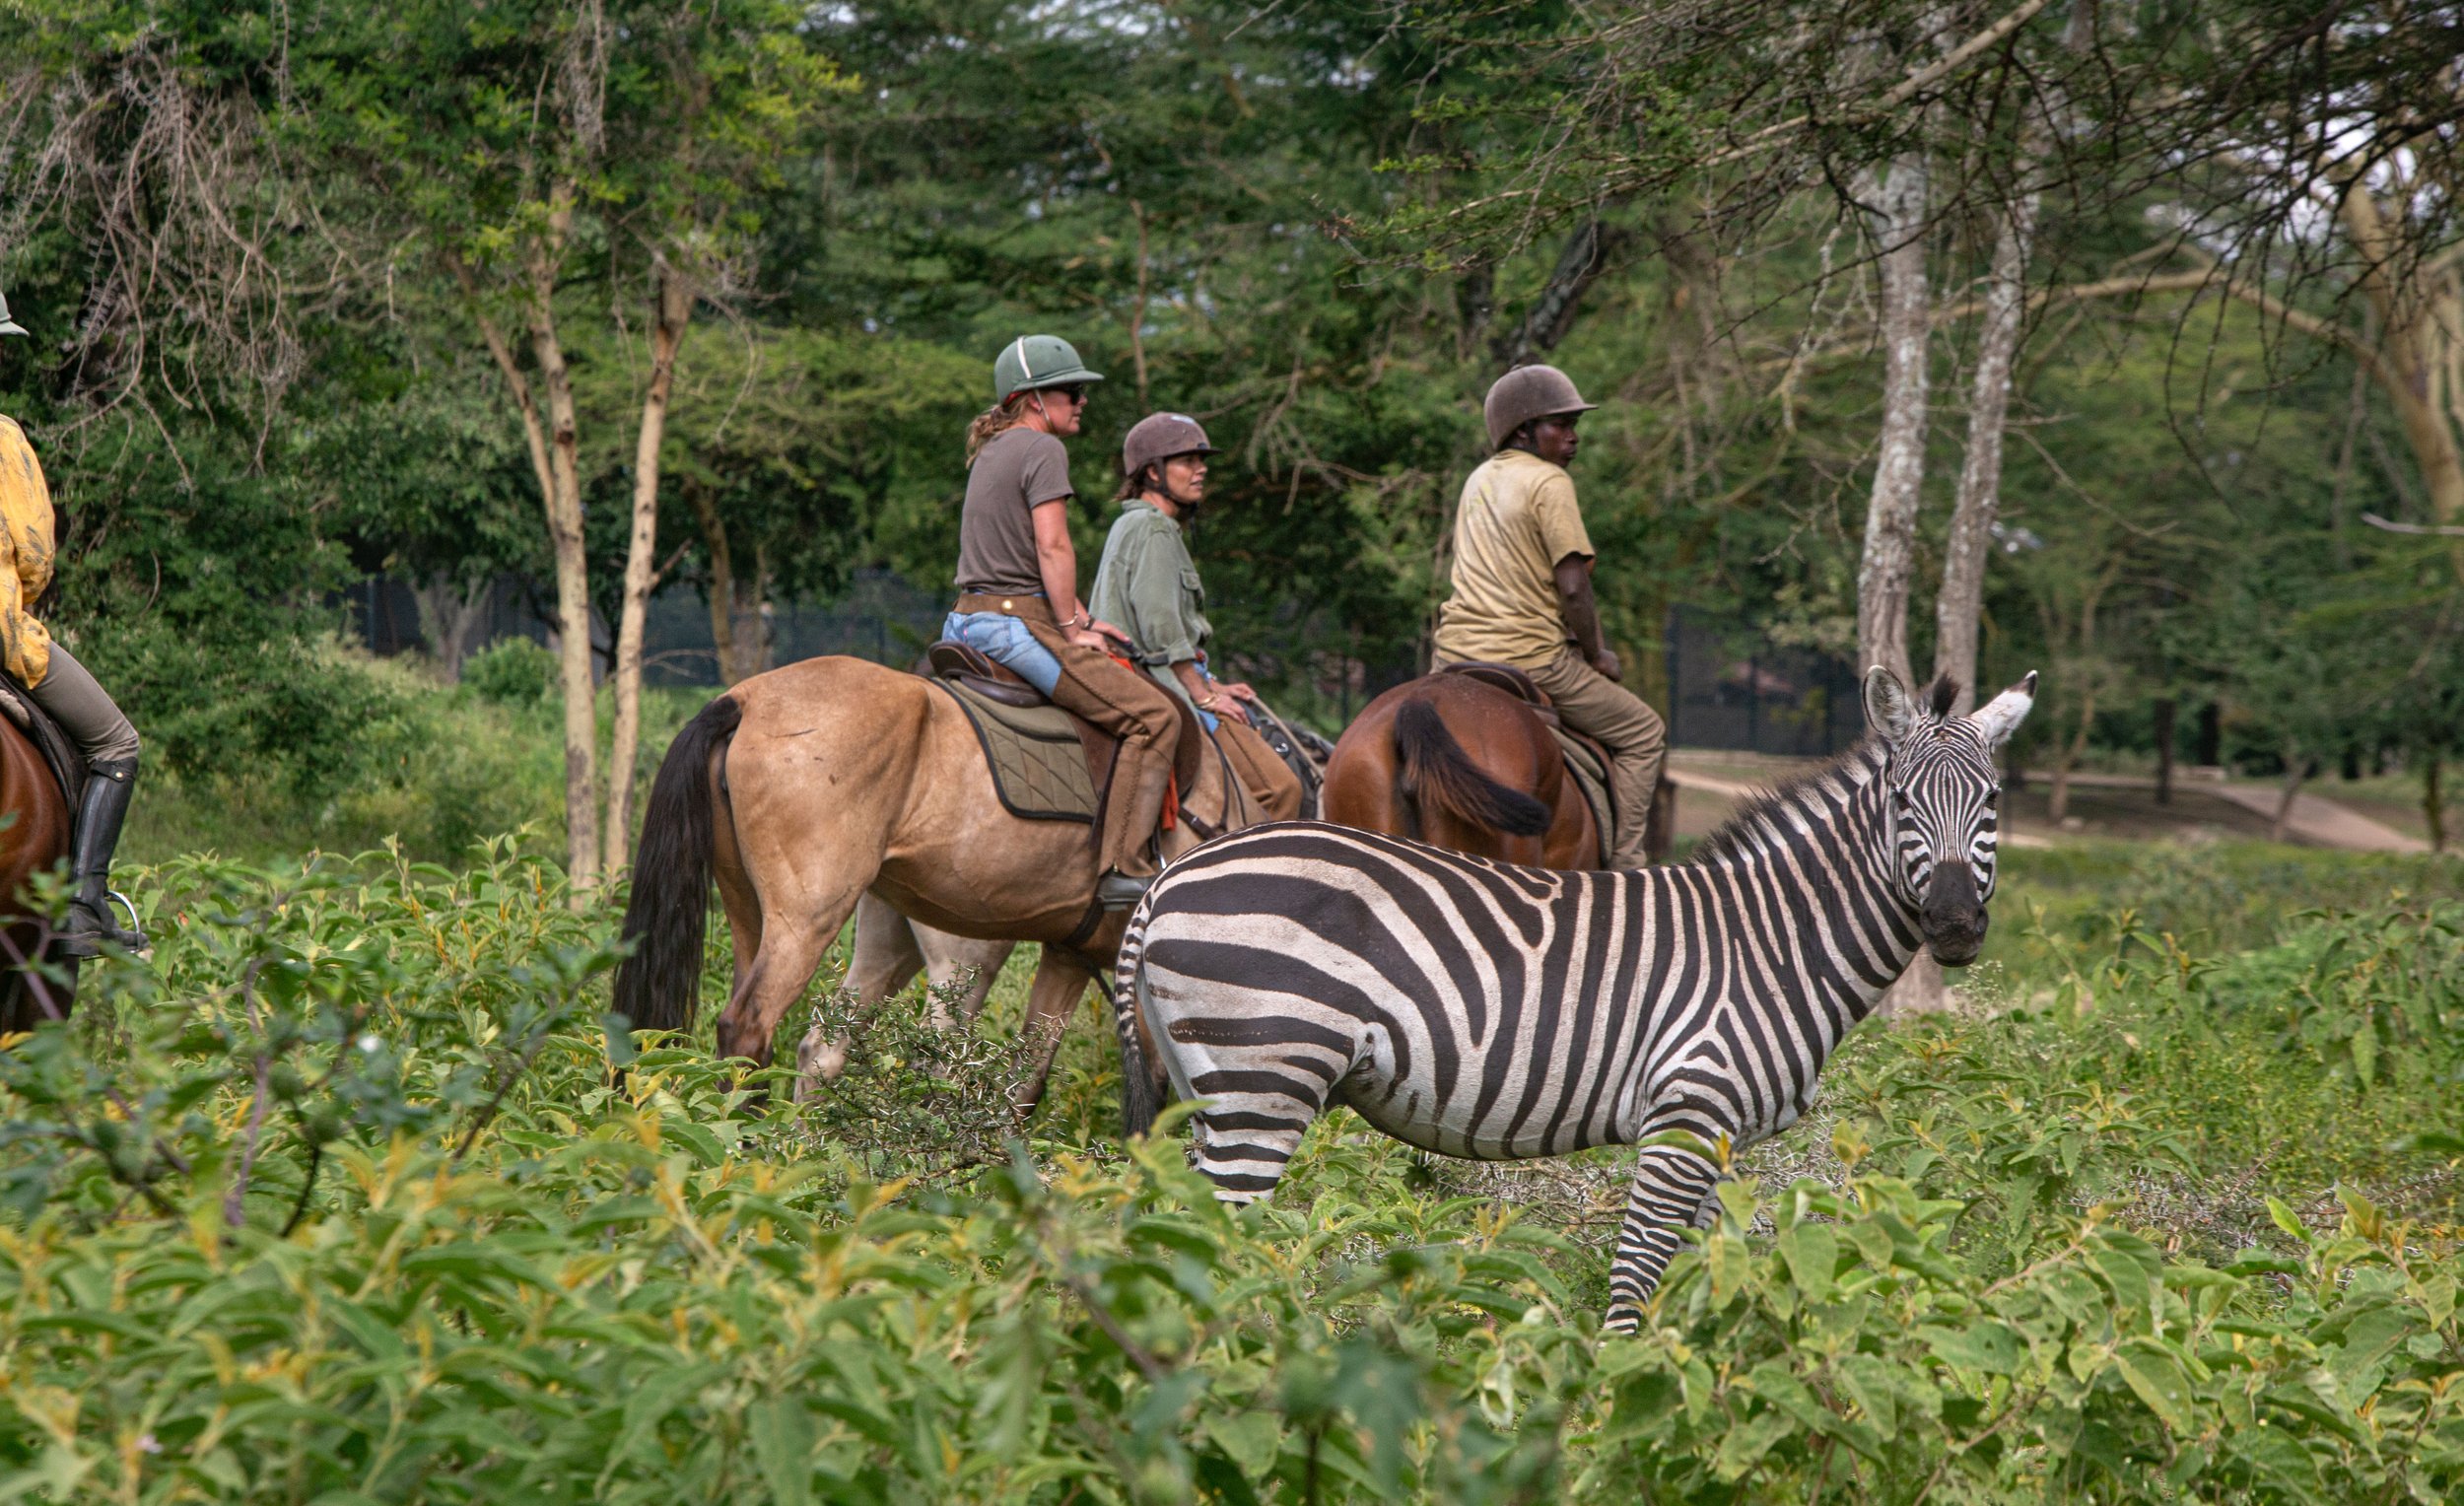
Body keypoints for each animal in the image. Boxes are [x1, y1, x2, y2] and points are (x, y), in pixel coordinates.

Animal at [1111, 666, 2035, 1331]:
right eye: (1903, 801)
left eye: (1991, 802)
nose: (1955, 925)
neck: (1772, 940)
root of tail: (1163, 881)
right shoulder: (1687, 1110)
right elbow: (1638, 1276)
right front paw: (1607, 1405)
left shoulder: (1720, 1133)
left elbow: (1700, 1276)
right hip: (1264, 1080)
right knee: (1216, 1248)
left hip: (1203, 1086)